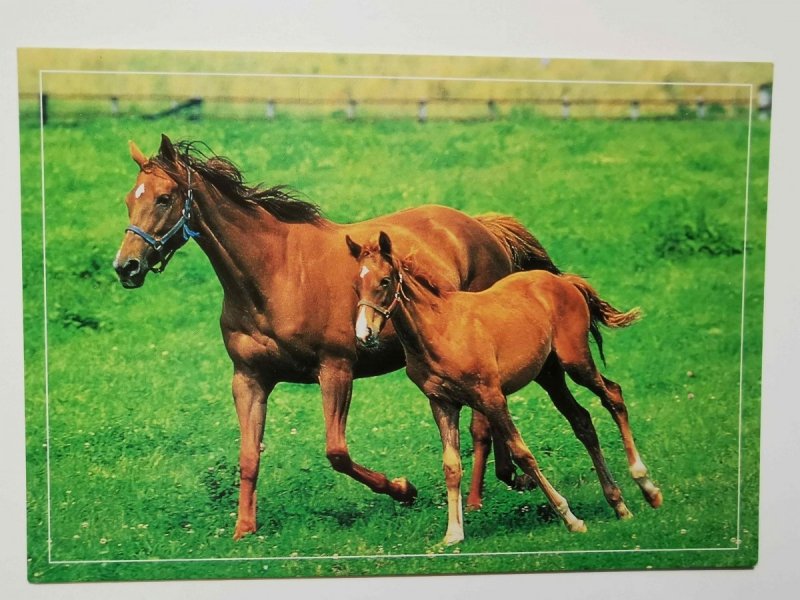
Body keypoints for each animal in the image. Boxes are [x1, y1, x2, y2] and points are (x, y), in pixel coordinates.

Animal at [114, 136, 564, 540]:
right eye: (129, 199)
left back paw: (478, 498)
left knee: (481, 425)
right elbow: (248, 456)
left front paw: (403, 490)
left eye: (164, 198)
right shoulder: (249, 378)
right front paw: (244, 530)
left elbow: (337, 452)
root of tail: (482, 228)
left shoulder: (335, 370)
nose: (126, 267)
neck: (273, 274)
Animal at [346, 232, 660, 548]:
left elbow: (522, 453)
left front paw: (570, 518)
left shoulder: (492, 397)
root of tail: (564, 282)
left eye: (385, 281)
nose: (364, 335)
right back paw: (618, 503)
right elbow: (451, 465)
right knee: (582, 421)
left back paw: (648, 488)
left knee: (613, 395)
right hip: (550, 376)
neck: (439, 330)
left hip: (576, 362)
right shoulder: (441, 403)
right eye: (357, 285)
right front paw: (453, 534)